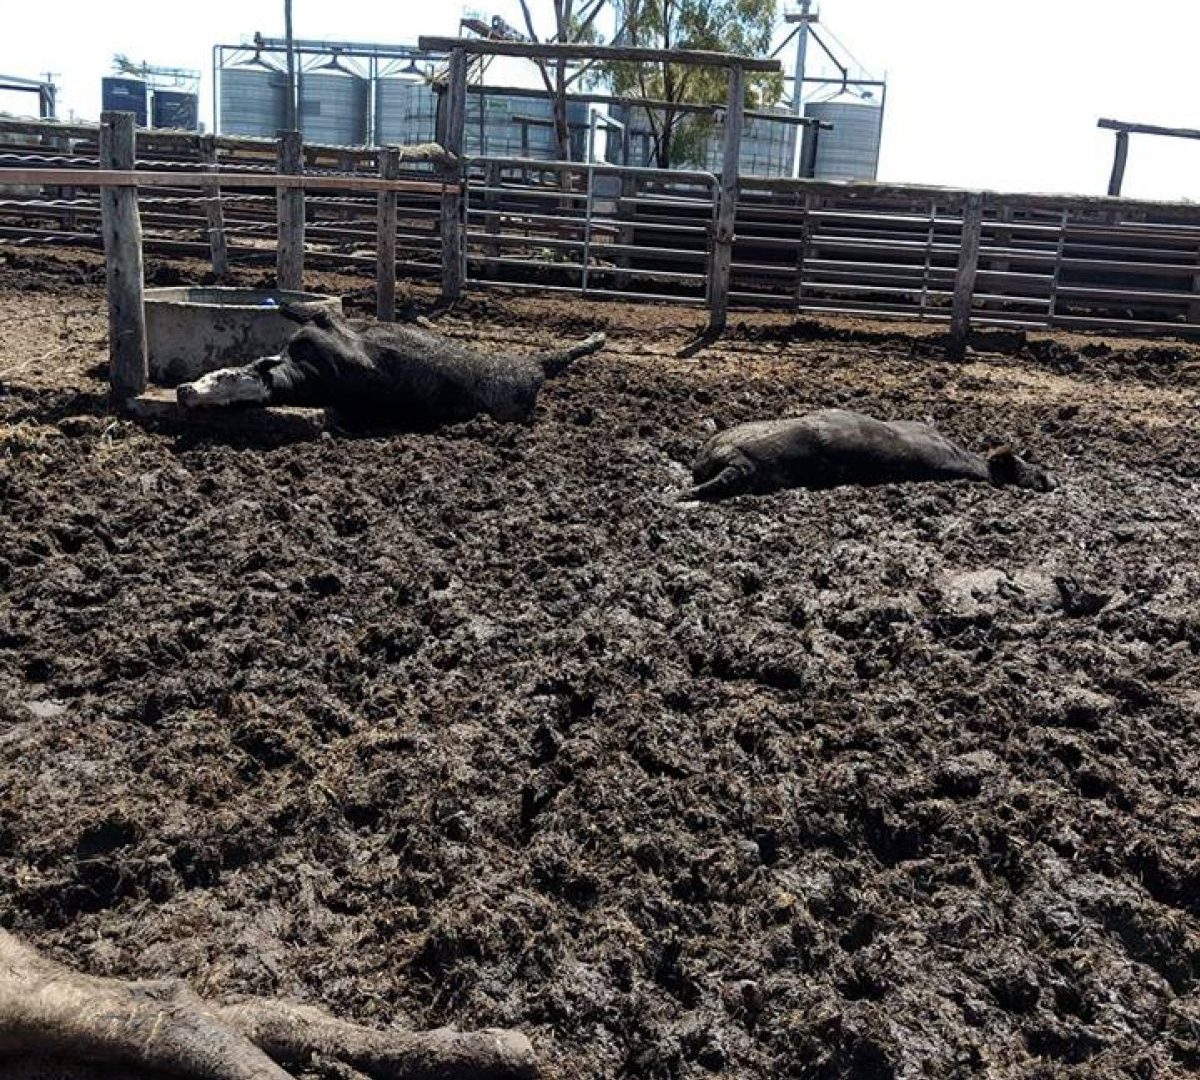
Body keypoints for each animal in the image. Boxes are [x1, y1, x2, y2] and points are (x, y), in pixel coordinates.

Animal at [177, 303, 604, 429]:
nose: (184, 392)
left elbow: (301, 309)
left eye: (225, 374)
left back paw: (596, 338)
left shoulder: (325, 326)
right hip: (520, 377)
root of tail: (531, 375)